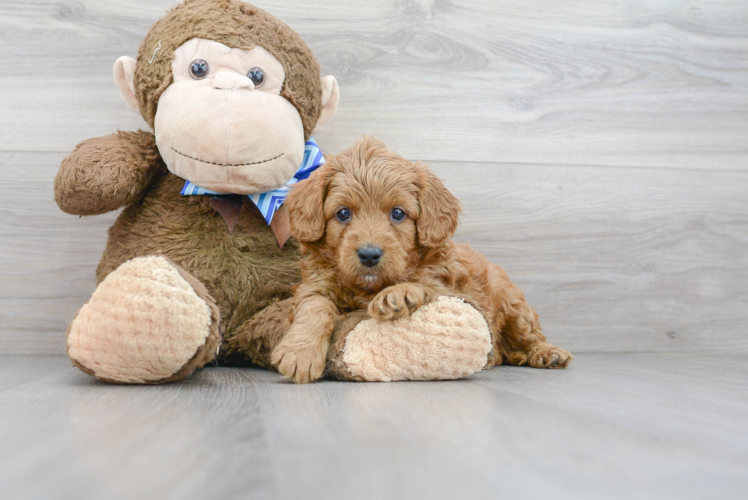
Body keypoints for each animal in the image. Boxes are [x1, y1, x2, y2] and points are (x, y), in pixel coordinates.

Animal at [272, 137, 568, 382]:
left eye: (398, 213)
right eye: (343, 213)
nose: (369, 254)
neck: (368, 287)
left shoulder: (450, 287)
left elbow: (425, 285)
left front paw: (397, 294)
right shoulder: (316, 283)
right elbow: (315, 306)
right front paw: (300, 353)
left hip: (514, 304)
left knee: (530, 335)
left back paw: (548, 353)